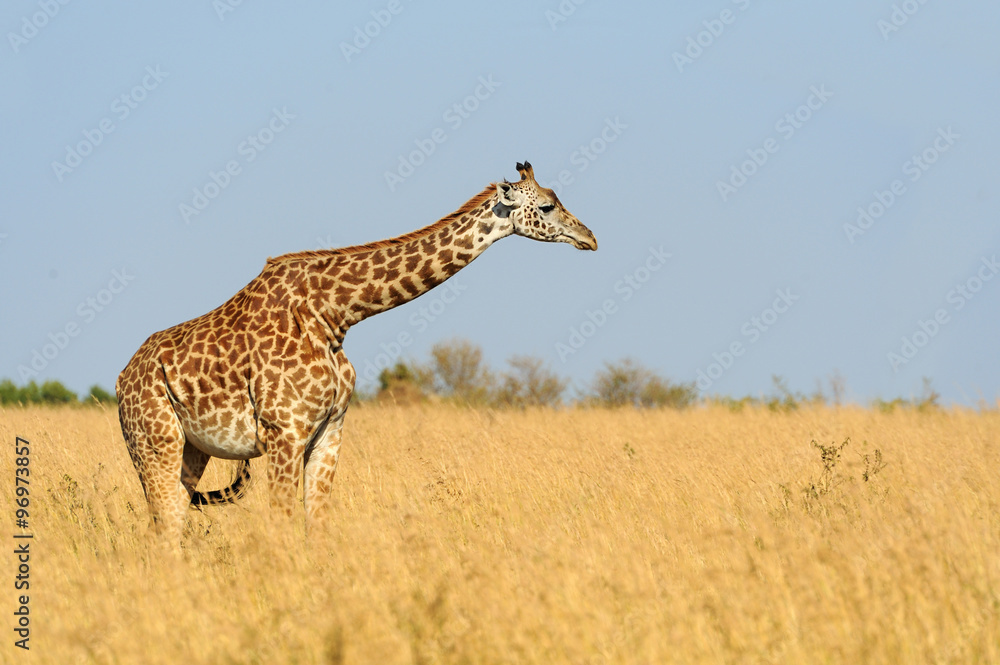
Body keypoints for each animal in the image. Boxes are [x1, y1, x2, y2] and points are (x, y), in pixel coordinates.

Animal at [116, 161, 597, 545]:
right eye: (548, 206)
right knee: (162, 529)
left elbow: (318, 526)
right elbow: (282, 526)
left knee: (172, 526)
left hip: (191, 450)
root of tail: (123, 379)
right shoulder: (284, 433)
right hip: (154, 444)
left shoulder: (330, 431)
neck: (335, 314)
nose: (590, 237)